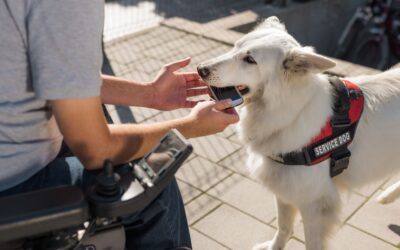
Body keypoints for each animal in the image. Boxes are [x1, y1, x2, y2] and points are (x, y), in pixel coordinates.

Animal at [198, 16, 400, 249]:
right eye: (235, 46)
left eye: (249, 59)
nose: (200, 69)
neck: (292, 111)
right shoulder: (285, 192)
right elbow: (283, 227)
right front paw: (273, 247)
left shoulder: (315, 206)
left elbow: (311, 243)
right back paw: (388, 195)